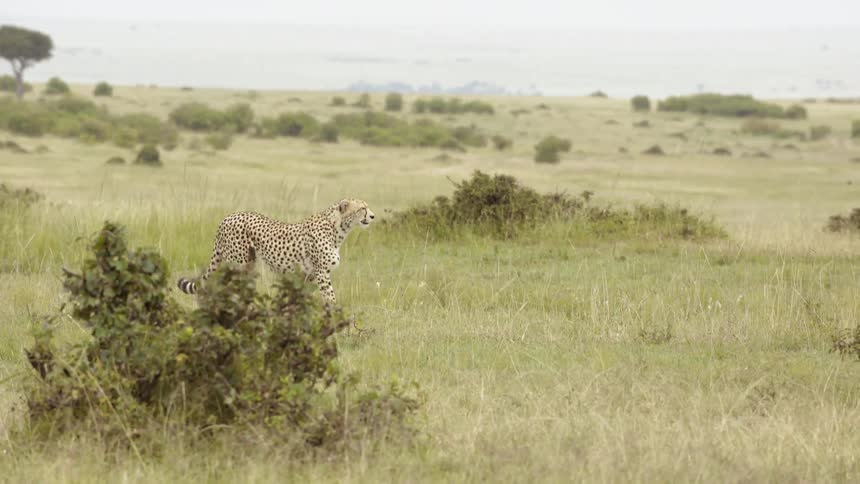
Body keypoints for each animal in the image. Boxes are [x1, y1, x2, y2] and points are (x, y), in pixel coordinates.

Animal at [177, 199, 375, 305]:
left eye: (367, 207)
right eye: (362, 208)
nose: (373, 216)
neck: (337, 228)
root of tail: (227, 217)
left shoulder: (308, 274)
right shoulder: (321, 272)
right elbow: (330, 297)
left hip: (248, 264)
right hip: (239, 264)